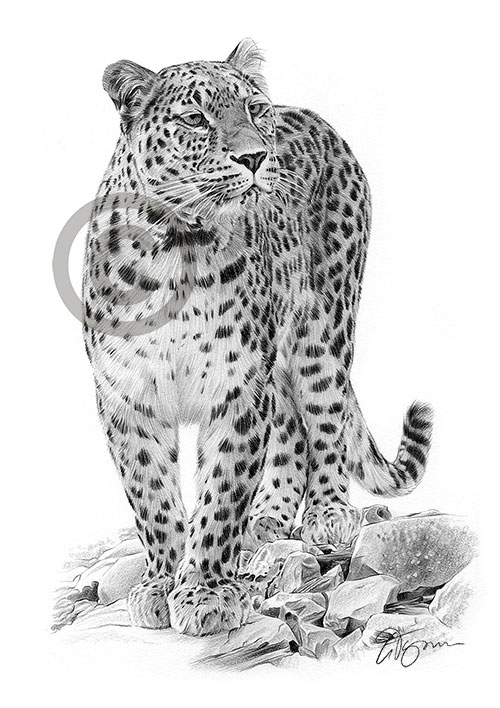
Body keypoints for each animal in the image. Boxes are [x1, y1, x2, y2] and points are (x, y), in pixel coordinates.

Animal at [82, 39, 433, 637]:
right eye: (195, 119)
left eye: (253, 110)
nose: (254, 158)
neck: (177, 245)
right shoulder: (127, 396)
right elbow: (153, 498)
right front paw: (160, 586)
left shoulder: (238, 386)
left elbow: (221, 495)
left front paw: (206, 595)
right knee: (290, 427)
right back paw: (268, 518)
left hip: (322, 337)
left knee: (323, 422)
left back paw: (327, 514)